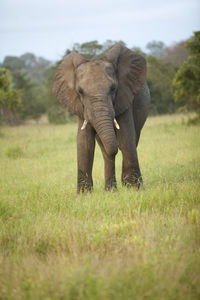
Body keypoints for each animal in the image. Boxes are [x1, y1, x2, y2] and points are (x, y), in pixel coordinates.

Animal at [52, 43, 150, 192]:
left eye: (113, 88)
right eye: (80, 91)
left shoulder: (124, 97)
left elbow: (126, 137)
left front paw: (134, 189)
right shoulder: (81, 107)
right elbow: (84, 142)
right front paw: (84, 194)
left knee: (132, 140)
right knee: (105, 151)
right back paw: (111, 191)